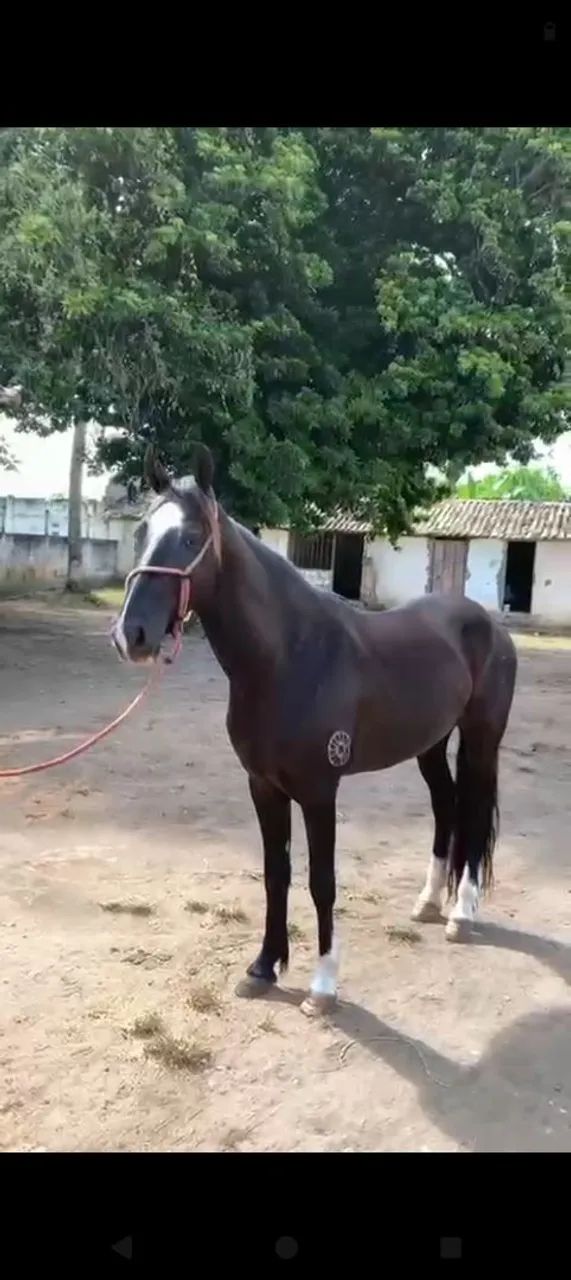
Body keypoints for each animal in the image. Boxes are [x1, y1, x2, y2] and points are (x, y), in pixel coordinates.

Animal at [112, 445, 517, 1017]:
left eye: (191, 538)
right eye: (142, 531)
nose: (133, 634)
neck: (290, 656)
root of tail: (486, 622)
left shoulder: (320, 790)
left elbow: (321, 881)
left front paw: (322, 985)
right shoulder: (263, 785)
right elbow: (275, 873)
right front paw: (263, 968)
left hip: (481, 739)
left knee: (475, 813)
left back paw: (461, 913)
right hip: (431, 745)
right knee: (446, 806)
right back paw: (428, 902)